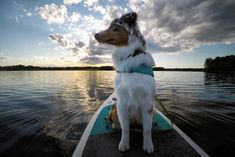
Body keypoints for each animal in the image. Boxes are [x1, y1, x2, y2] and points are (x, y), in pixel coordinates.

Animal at [93, 11, 156, 153]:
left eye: (113, 27)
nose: (95, 34)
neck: (129, 55)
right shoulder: (121, 102)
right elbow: (125, 128)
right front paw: (124, 144)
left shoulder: (147, 104)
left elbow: (147, 130)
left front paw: (148, 145)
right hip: (115, 110)